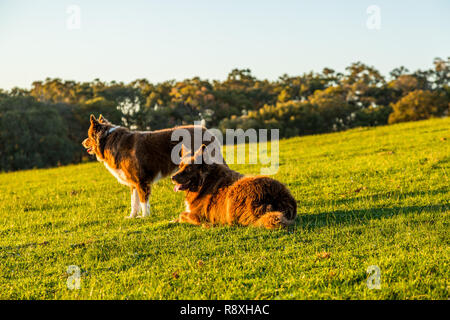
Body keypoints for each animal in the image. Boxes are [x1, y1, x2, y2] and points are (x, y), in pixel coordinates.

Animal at [82, 114, 221, 218]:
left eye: (88, 136)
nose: (82, 142)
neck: (108, 140)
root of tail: (207, 131)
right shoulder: (133, 182)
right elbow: (134, 201)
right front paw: (132, 216)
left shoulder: (141, 180)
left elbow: (143, 200)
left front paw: (145, 217)